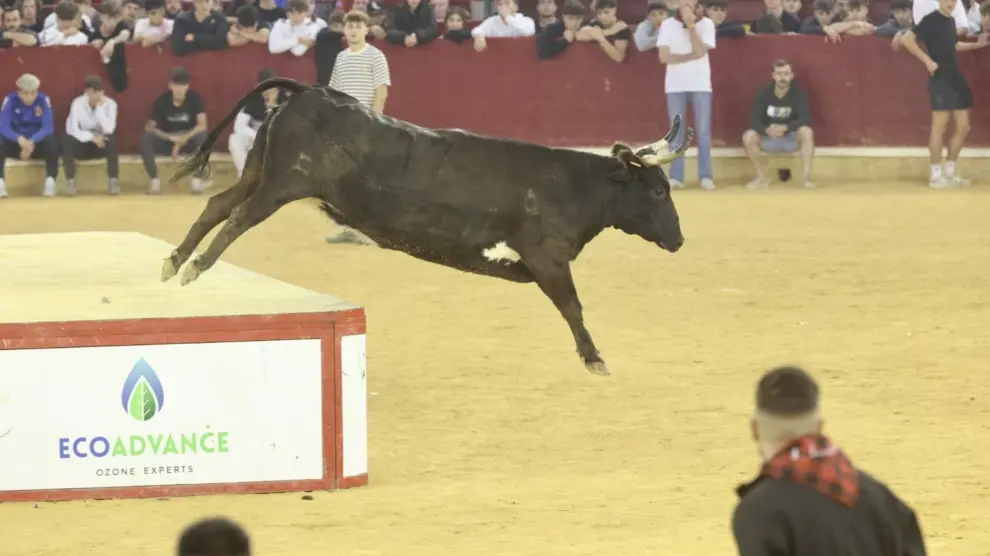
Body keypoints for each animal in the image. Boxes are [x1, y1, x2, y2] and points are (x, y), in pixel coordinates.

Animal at [161, 78, 692, 376]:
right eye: (658, 192)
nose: (679, 239)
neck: (575, 184)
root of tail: (313, 92)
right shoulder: (549, 258)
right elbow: (572, 306)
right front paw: (594, 358)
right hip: (283, 183)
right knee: (237, 218)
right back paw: (195, 267)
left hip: (258, 173)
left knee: (217, 205)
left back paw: (173, 262)